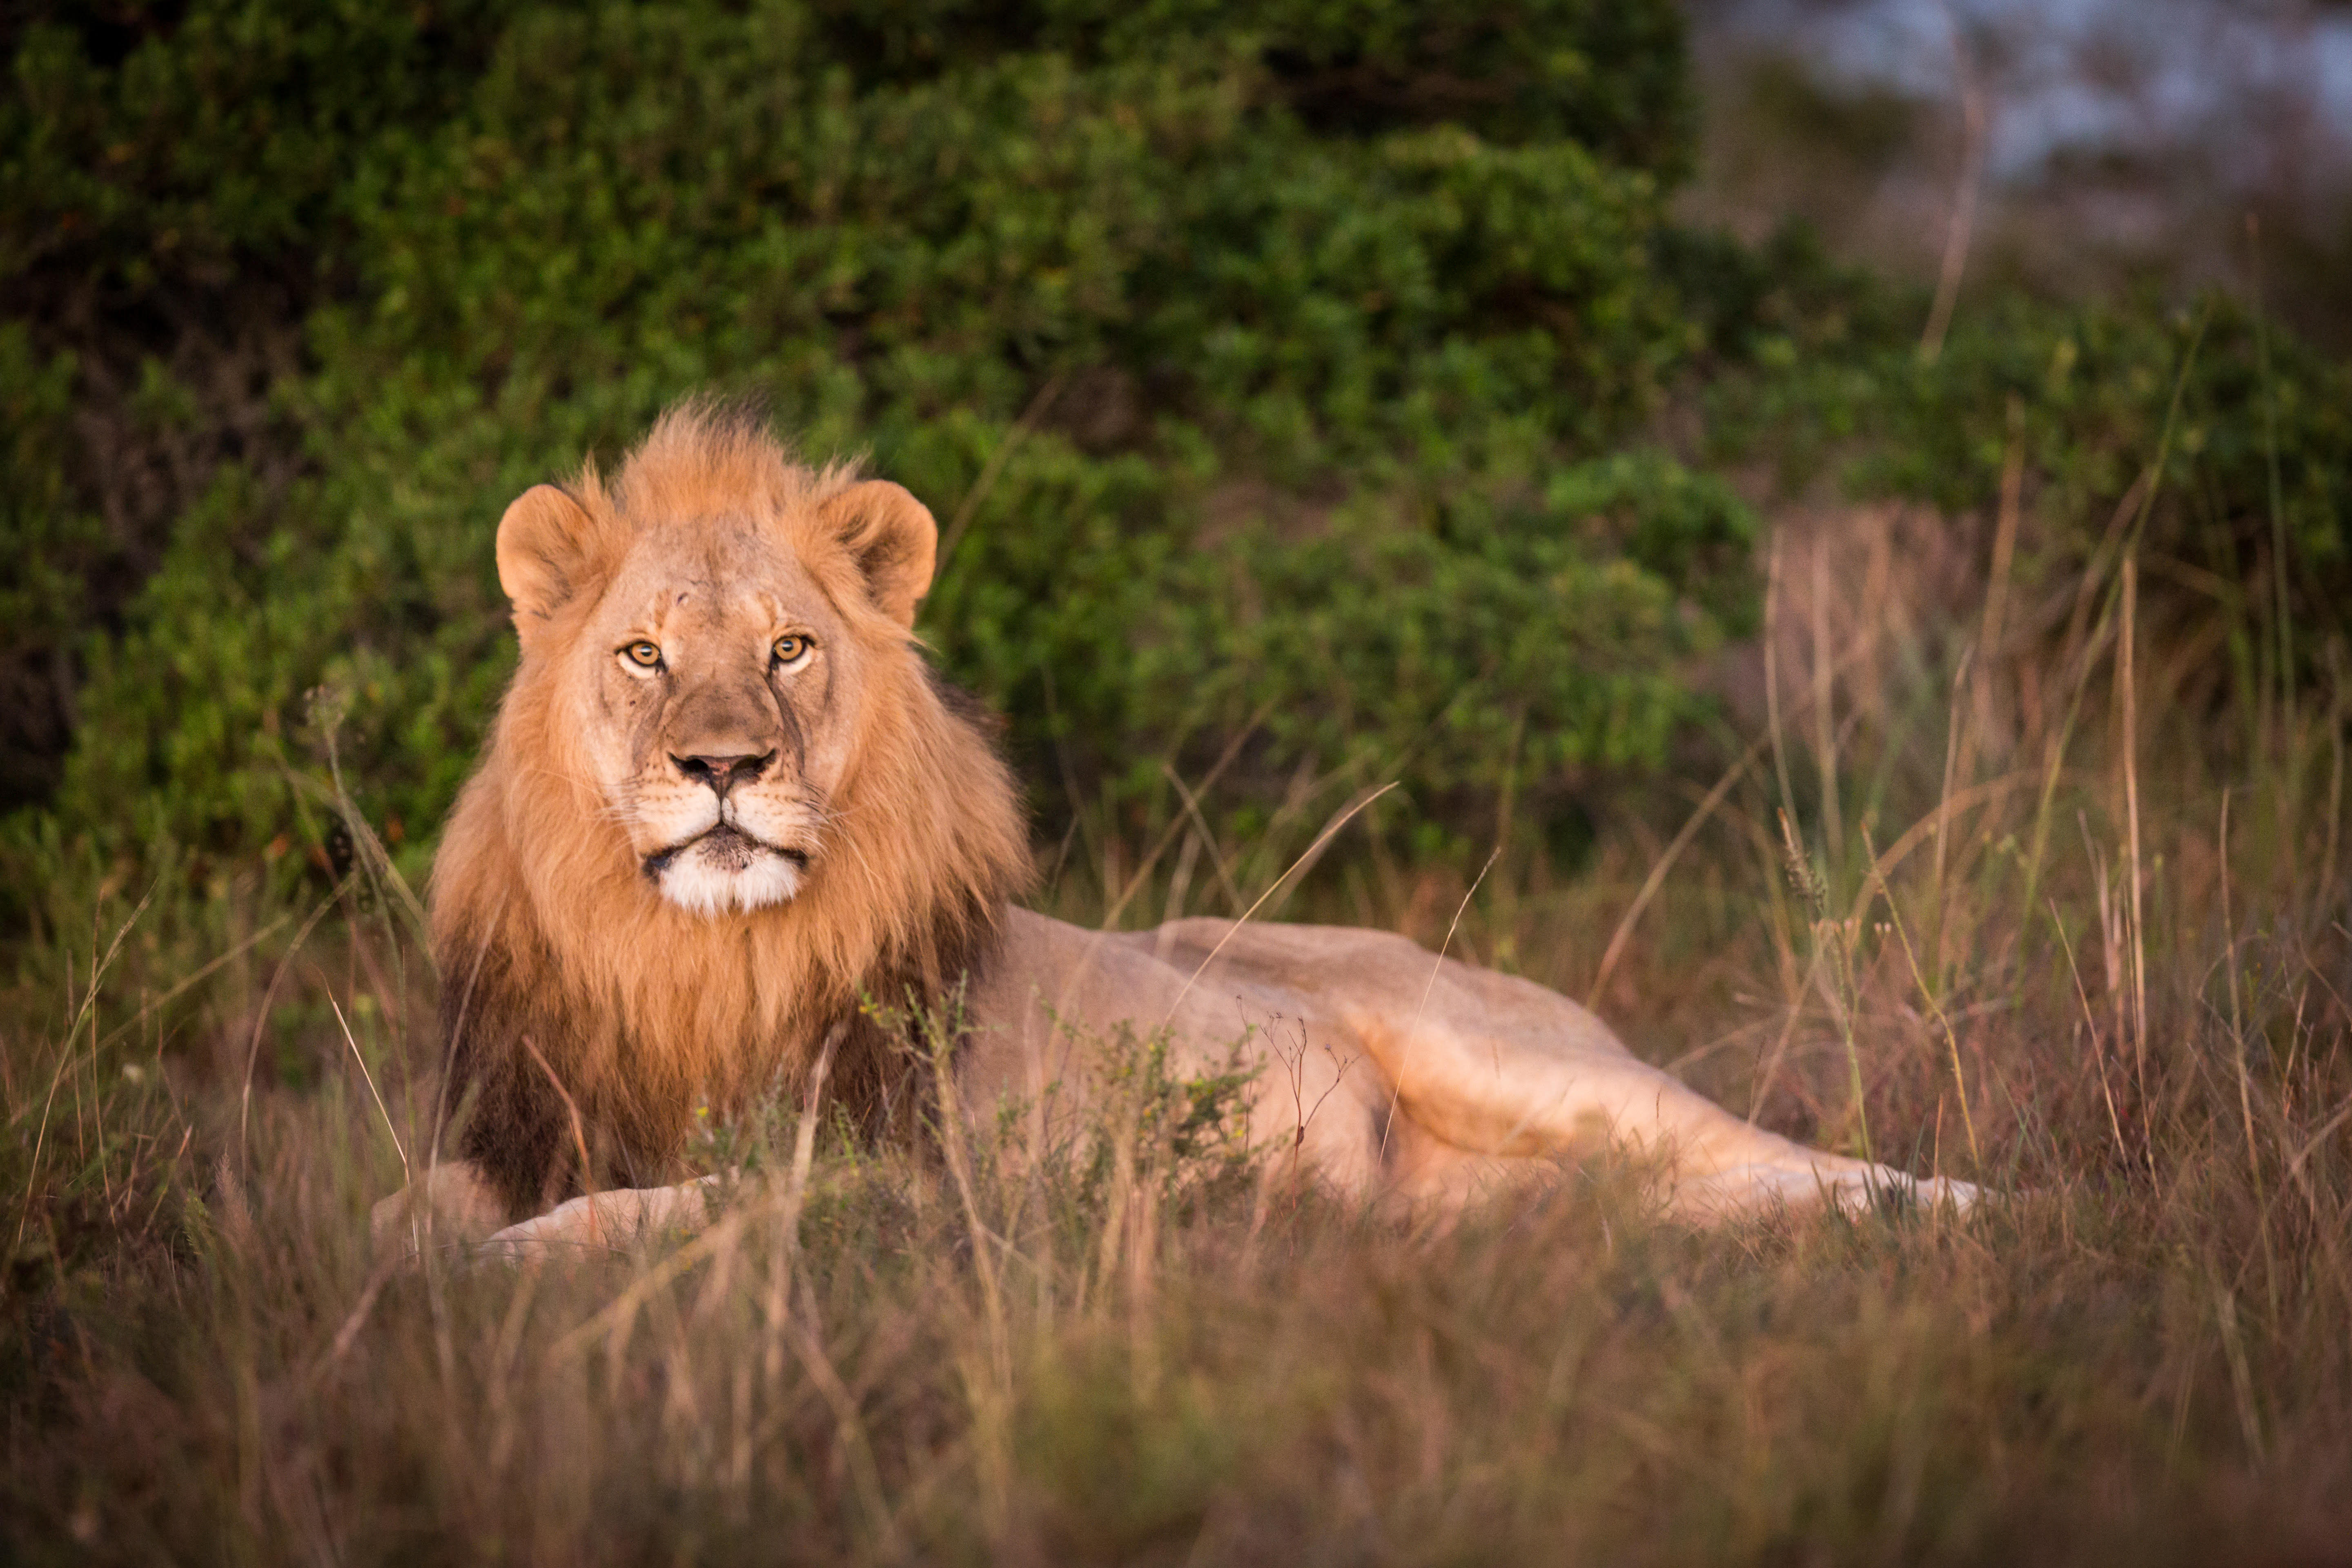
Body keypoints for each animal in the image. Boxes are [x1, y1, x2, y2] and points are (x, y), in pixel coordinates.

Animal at [376, 409, 1976, 1260]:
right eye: (644, 655)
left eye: (787, 648)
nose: (724, 764)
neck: (689, 961)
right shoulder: (528, 1121)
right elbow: (401, 1203)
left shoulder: (899, 1177)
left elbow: (660, 1206)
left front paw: (507, 1264)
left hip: (1514, 1051)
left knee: (1773, 1149)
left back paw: (1963, 1212)